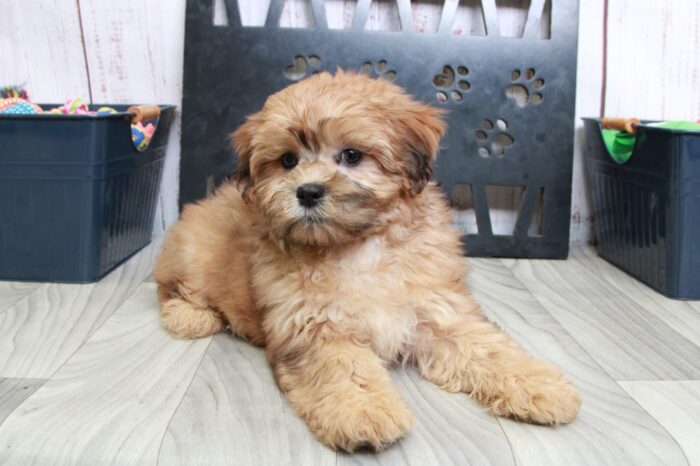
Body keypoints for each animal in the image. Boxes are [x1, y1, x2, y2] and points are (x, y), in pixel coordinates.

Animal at [156, 70, 584, 452]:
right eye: (288, 161)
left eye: (351, 155)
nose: (307, 192)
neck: (359, 246)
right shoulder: (316, 328)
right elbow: (345, 368)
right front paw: (364, 412)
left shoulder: (440, 309)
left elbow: (486, 347)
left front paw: (538, 386)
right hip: (194, 252)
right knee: (171, 287)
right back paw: (190, 315)